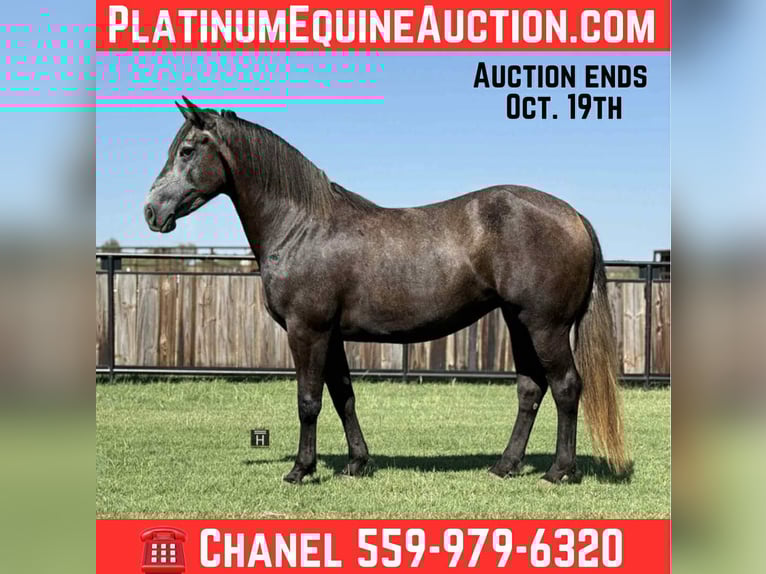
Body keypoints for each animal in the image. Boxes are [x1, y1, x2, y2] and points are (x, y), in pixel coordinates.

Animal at [144, 96, 628, 484]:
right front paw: (357, 463)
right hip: (519, 322)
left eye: (186, 150)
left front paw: (301, 469)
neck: (302, 226)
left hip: (546, 325)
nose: (151, 211)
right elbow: (343, 396)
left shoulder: (307, 330)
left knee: (566, 386)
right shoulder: (331, 335)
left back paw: (560, 471)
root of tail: (572, 214)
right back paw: (505, 465)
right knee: (530, 389)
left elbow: (308, 400)